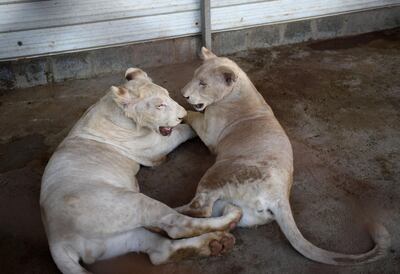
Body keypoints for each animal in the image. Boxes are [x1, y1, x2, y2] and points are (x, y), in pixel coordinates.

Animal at [39, 68, 241, 274]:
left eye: (168, 96)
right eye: (159, 105)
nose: (182, 113)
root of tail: (57, 240)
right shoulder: (154, 147)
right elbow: (184, 130)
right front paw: (191, 122)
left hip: (120, 239)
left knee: (161, 251)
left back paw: (216, 244)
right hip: (131, 203)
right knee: (178, 225)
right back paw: (231, 217)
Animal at [177, 48, 390, 264]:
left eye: (203, 83)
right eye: (194, 77)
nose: (184, 94)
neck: (239, 91)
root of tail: (279, 196)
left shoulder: (209, 133)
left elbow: (192, 114)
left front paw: (180, 111)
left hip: (217, 173)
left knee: (201, 209)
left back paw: (170, 211)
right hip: (239, 209)